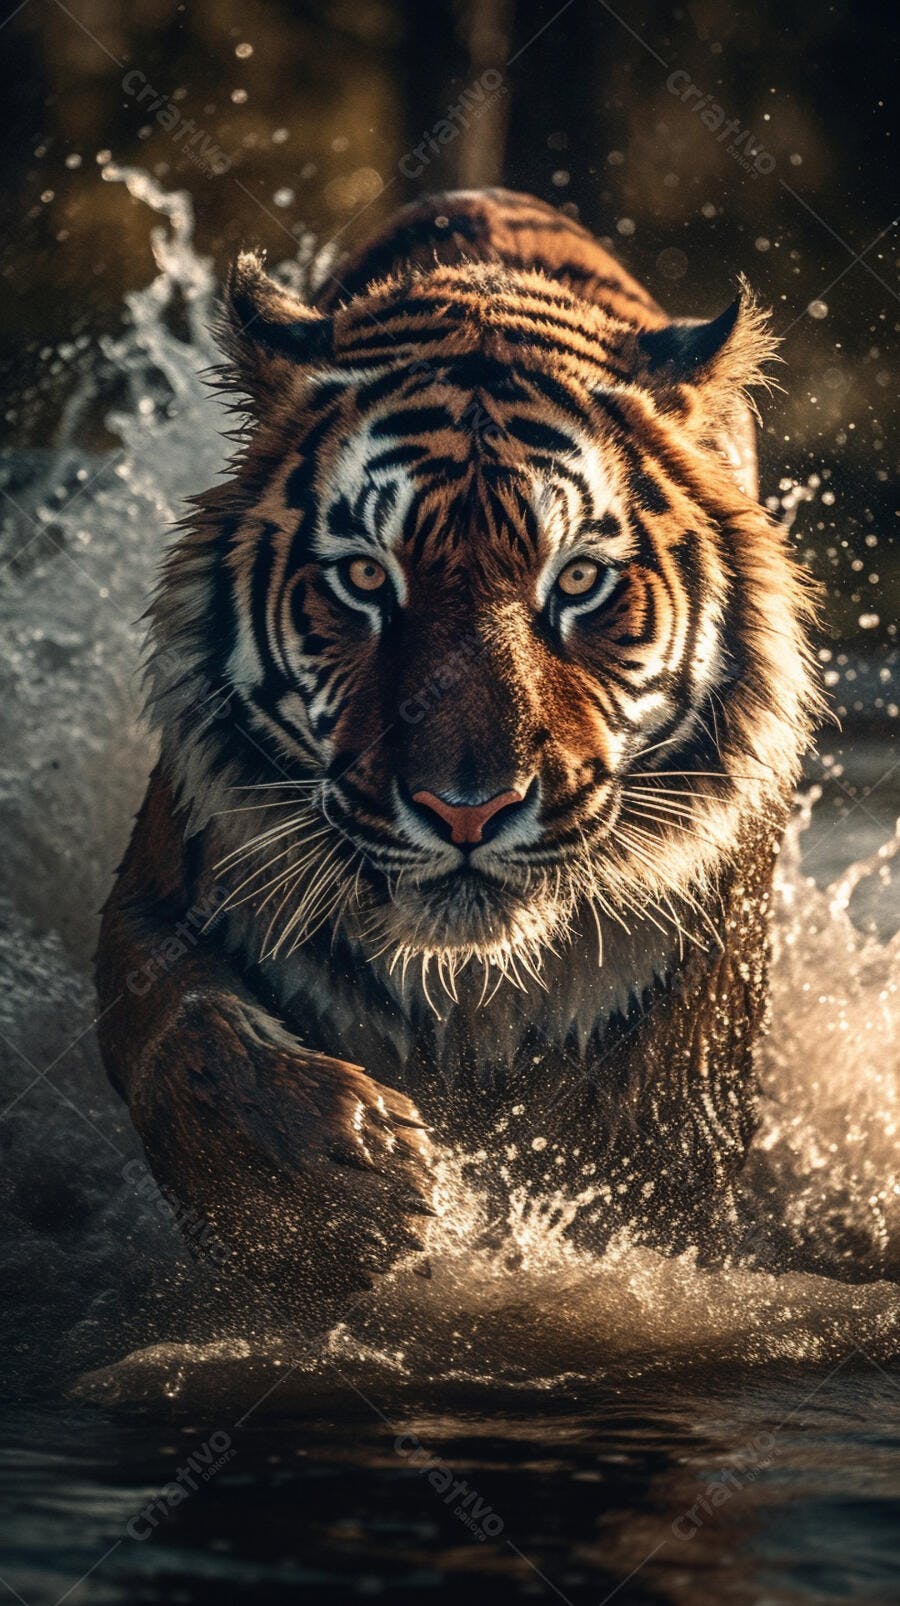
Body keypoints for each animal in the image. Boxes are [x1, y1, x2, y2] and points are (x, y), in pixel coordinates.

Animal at [96, 188, 819, 1317]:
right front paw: (340, 1193)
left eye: (578, 582)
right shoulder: (165, 890)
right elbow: (186, 1036)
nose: (467, 809)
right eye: (363, 577)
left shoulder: (697, 1006)